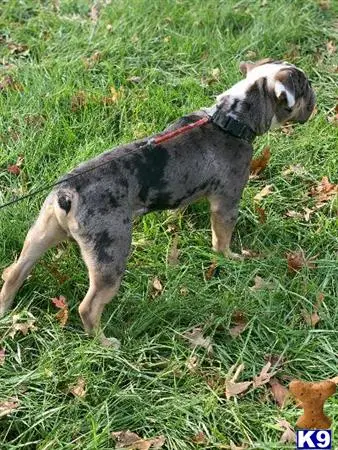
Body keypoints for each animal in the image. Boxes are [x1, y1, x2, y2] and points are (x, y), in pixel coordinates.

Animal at [0, 59, 316, 348]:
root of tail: (67, 193)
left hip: (42, 233)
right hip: (110, 254)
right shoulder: (227, 201)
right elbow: (222, 237)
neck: (231, 119)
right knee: (88, 307)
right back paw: (105, 343)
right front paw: (229, 257)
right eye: (304, 87)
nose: (315, 97)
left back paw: (5, 309)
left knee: (14, 272)